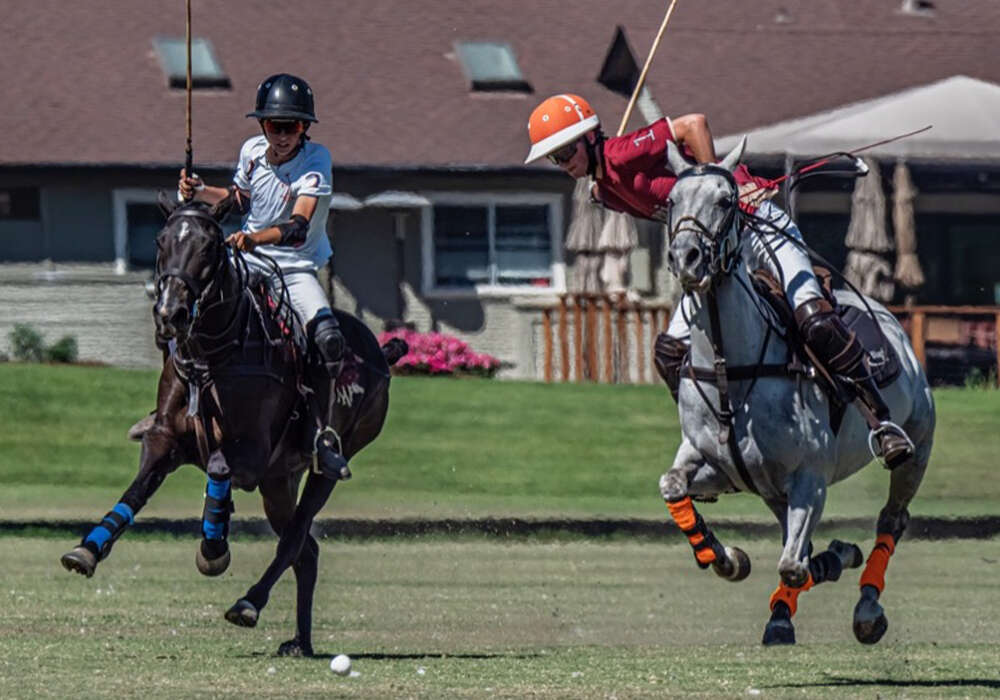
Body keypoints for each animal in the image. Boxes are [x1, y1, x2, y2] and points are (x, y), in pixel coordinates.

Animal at [61, 194, 406, 660]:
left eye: (209, 247)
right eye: (160, 240)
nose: (170, 313)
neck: (212, 356)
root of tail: (380, 353)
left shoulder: (253, 453)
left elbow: (219, 467)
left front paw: (214, 548)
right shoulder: (164, 440)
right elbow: (135, 491)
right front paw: (87, 549)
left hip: (330, 463)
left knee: (295, 537)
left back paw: (249, 603)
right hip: (279, 481)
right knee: (308, 551)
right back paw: (300, 641)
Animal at [660, 139, 932, 648]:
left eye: (726, 201)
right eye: (671, 201)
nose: (686, 257)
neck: (731, 369)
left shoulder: (810, 476)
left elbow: (792, 564)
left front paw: (833, 559)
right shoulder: (721, 467)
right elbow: (672, 486)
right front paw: (727, 558)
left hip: (919, 443)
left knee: (891, 518)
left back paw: (867, 608)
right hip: (771, 488)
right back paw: (787, 611)